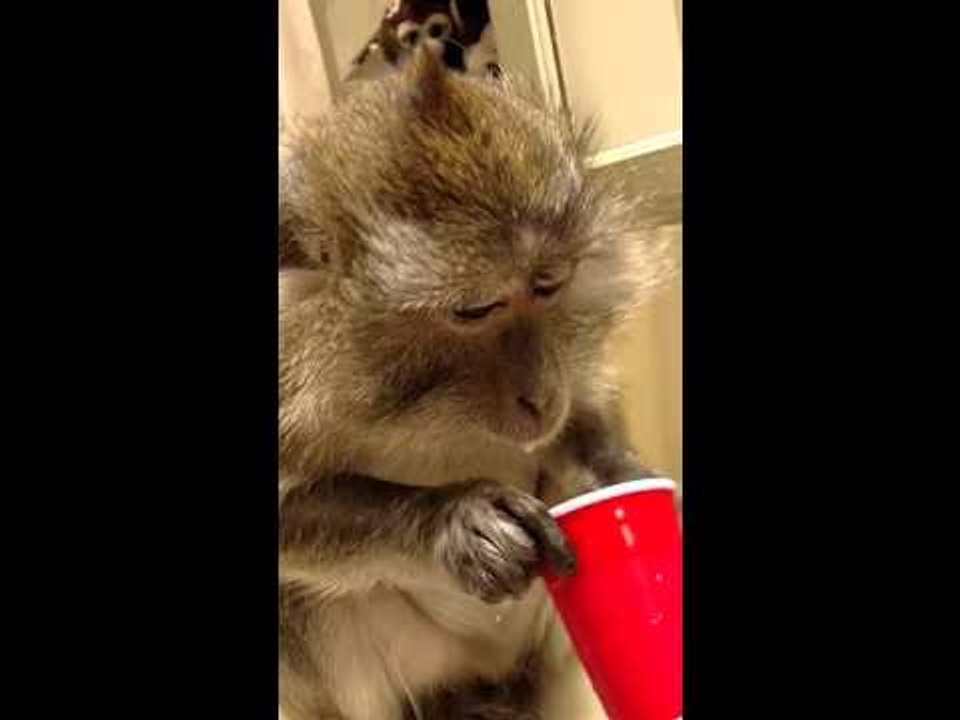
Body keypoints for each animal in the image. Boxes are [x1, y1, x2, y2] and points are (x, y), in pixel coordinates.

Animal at [279, 48, 673, 720]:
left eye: (547, 284)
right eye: (474, 310)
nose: (540, 394)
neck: (423, 406)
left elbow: (585, 421)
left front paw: (619, 471)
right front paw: (455, 517)